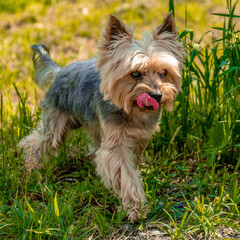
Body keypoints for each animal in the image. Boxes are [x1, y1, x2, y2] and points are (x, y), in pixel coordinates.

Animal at [19, 12, 186, 220]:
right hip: (58, 120)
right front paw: (136, 208)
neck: (133, 110)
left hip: (92, 125)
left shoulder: (139, 137)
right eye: (135, 73)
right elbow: (124, 173)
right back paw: (32, 168)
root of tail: (59, 71)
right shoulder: (116, 145)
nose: (156, 95)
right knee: (37, 141)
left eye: (164, 73)